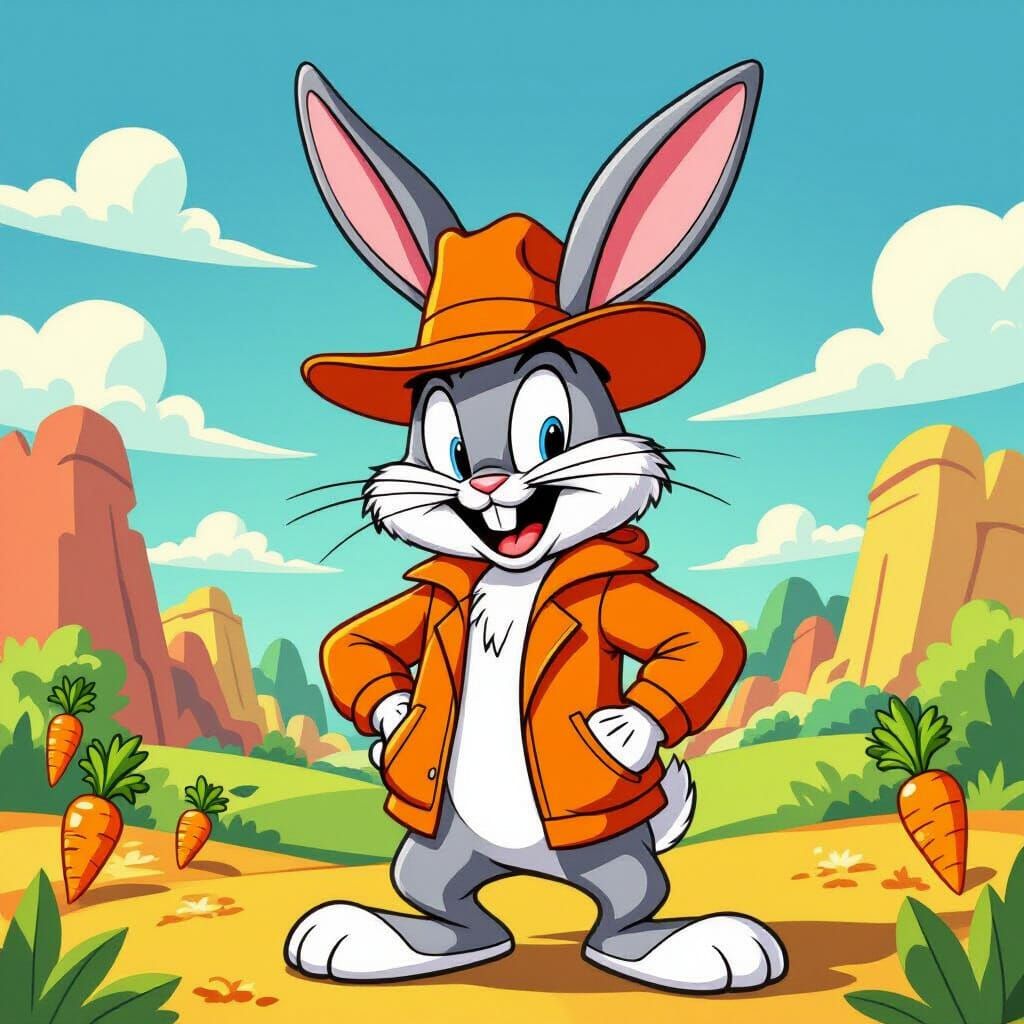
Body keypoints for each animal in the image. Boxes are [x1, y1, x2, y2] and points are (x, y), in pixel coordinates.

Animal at [283, 59, 787, 993]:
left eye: (550, 430)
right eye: (443, 440)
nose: (482, 481)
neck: (514, 578)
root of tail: (522, 867)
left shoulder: (618, 593)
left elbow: (704, 644)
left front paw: (626, 730)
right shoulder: (432, 601)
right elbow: (355, 644)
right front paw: (396, 716)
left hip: (611, 856)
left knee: (627, 908)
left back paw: (691, 947)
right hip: (434, 845)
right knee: (448, 906)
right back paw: (385, 937)